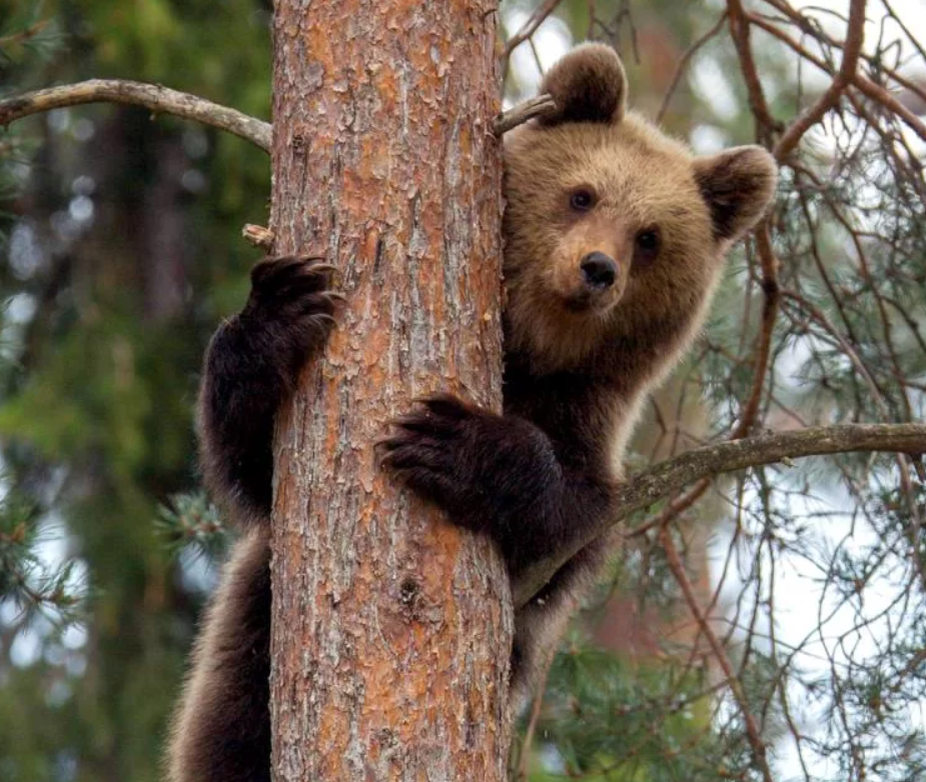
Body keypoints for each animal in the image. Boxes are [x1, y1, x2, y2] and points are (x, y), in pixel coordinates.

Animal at [165, 41, 776, 782]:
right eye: (582, 194)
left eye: (651, 236)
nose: (597, 268)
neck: (533, 349)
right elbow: (256, 465)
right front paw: (282, 310)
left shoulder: (585, 426)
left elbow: (566, 523)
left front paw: (453, 444)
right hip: (259, 617)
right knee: (232, 724)